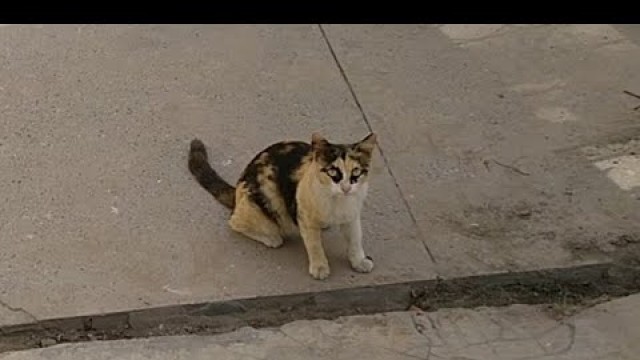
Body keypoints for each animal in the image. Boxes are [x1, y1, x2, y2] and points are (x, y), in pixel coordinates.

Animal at [188, 133, 378, 282]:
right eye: (333, 172)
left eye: (356, 172)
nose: (346, 188)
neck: (338, 202)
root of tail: (237, 190)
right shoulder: (304, 216)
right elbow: (314, 244)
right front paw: (320, 267)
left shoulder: (352, 217)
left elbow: (355, 240)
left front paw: (359, 261)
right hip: (269, 202)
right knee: (235, 221)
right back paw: (271, 238)